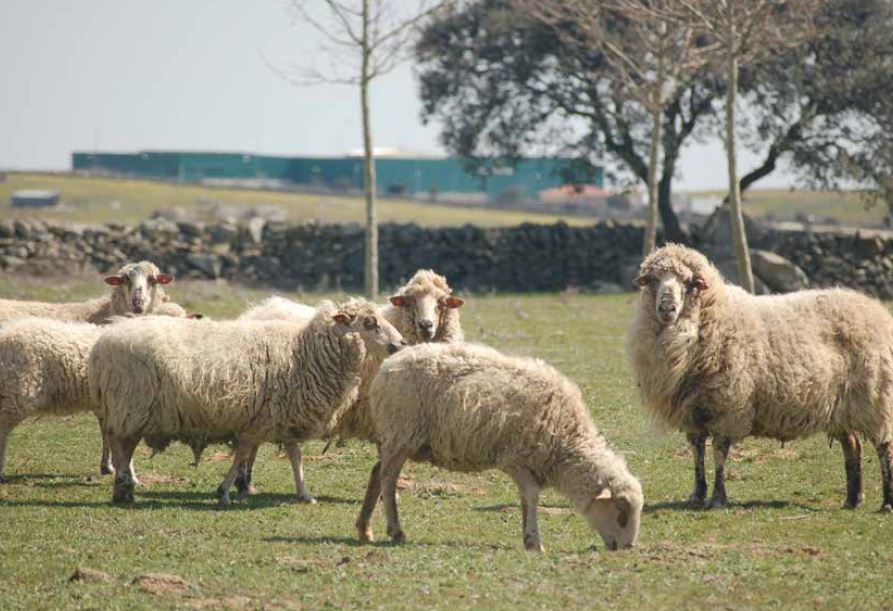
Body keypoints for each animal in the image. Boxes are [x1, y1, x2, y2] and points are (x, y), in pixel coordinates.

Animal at [89, 298, 404, 504]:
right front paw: (225, 490)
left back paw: (124, 485)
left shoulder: (281, 416)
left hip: (129, 407)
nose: (400, 344)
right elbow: (242, 455)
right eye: (369, 322)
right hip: (133, 404)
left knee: (120, 444)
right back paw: (124, 486)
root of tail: (102, 343)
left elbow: (294, 456)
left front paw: (304, 493)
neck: (304, 353)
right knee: (122, 445)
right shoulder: (260, 420)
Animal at [356, 344, 640, 556]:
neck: (566, 440)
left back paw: (364, 529)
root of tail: (387, 365)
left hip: (396, 438)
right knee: (387, 478)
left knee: (376, 473)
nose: (627, 547)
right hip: (401, 432)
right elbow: (531, 496)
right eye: (622, 514)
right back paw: (395, 530)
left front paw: (528, 538)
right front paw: (534, 541)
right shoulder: (515, 459)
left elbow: (526, 499)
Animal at [624, 244, 892, 512]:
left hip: (876, 398)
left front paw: (718, 498)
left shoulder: (728, 406)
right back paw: (853, 499)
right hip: (840, 406)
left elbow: (719, 453)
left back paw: (886, 503)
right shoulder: (693, 411)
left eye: (690, 283)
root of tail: (875, 308)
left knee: (884, 446)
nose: (667, 309)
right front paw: (697, 495)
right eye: (653, 280)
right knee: (853, 445)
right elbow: (697, 452)